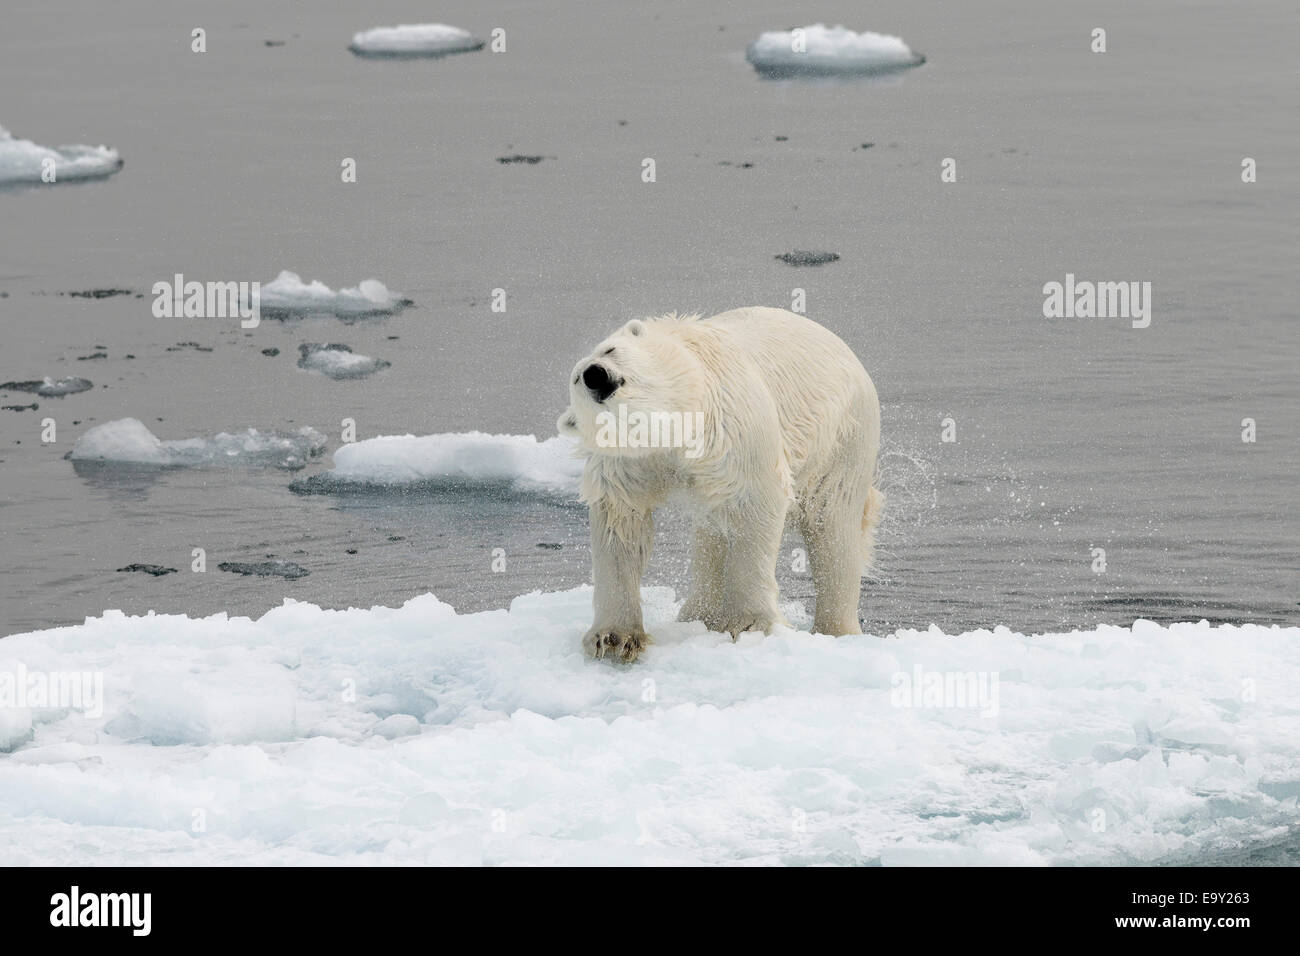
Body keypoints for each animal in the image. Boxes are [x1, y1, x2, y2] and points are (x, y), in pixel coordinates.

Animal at [559, 310, 883, 660]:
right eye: (577, 380)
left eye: (610, 350)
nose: (595, 375)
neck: (672, 433)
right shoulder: (625, 463)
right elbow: (620, 526)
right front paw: (614, 638)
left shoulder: (729, 427)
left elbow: (754, 501)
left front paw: (749, 623)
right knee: (712, 532)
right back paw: (700, 615)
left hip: (842, 435)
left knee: (832, 523)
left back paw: (836, 631)